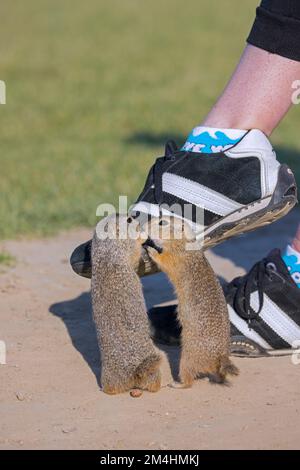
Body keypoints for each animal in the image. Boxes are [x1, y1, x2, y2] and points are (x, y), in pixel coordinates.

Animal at [91, 215, 162, 394]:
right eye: (129, 220)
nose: (135, 217)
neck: (104, 249)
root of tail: (133, 372)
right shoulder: (125, 247)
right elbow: (135, 253)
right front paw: (142, 236)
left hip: (110, 377)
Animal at [143, 216, 239, 386]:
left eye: (162, 222)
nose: (144, 226)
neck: (184, 240)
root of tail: (220, 356)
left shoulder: (174, 255)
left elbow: (164, 260)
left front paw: (150, 249)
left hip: (187, 358)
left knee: (188, 379)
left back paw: (177, 384)